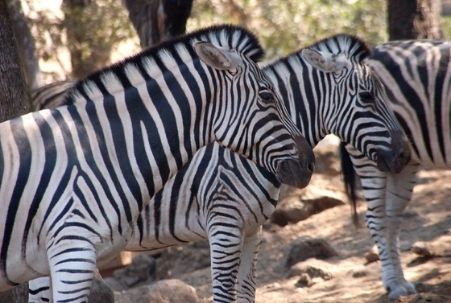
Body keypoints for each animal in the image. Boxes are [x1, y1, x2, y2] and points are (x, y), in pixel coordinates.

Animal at [26, 34, 412, 302]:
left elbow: (247, 292)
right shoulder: (224, 226)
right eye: (367, 97)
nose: (404, 156)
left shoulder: (253, 229)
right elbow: (224, 294)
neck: (247, 153)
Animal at [340, 39, 450, 300]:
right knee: (376, 218)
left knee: (392, 218)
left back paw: (398, 282)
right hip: (370, 157)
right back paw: (394, 284)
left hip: (403, 162)